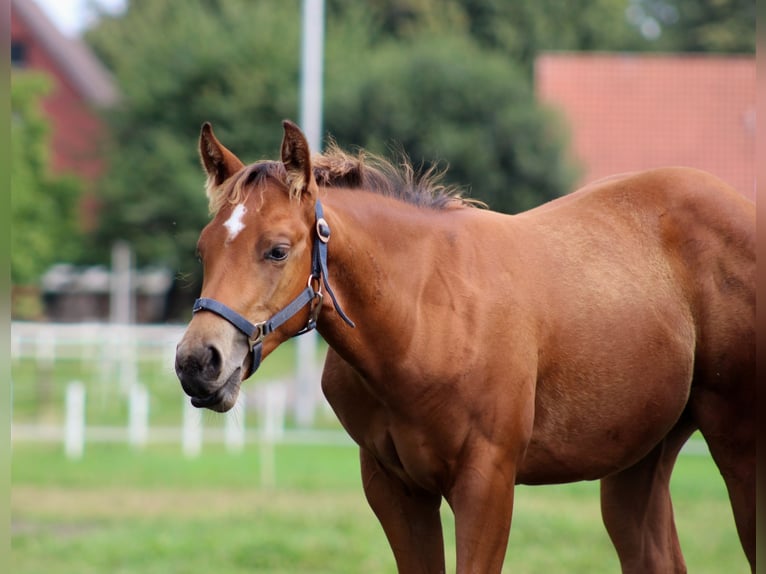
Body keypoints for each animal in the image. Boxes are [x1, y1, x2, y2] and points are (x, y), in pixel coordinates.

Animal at [177, 119, 760, 572]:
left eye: (277, 250)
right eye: (203, 248)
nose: (197, 362)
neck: (423, 320)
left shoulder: (487, 484)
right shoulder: (395, 489)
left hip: (737, 444)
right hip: (638, 461)